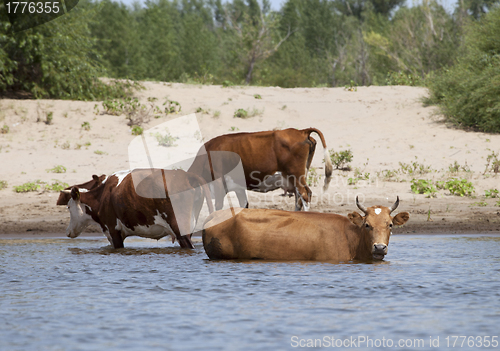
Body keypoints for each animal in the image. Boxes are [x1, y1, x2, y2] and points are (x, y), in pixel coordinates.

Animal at [61, 168, 214, 249]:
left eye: (68, 206)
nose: (67, 232)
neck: (102, 195)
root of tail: (186, 174)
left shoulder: (113, 229)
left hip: (180, 228)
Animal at [187, 129, 332, 212]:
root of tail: (301, 131)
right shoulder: (238, 187)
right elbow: (243, 205)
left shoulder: (218, 183)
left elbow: (217, 207)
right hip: (298, 177)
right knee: (298, 199)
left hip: (296, 175)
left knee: (304, 195)